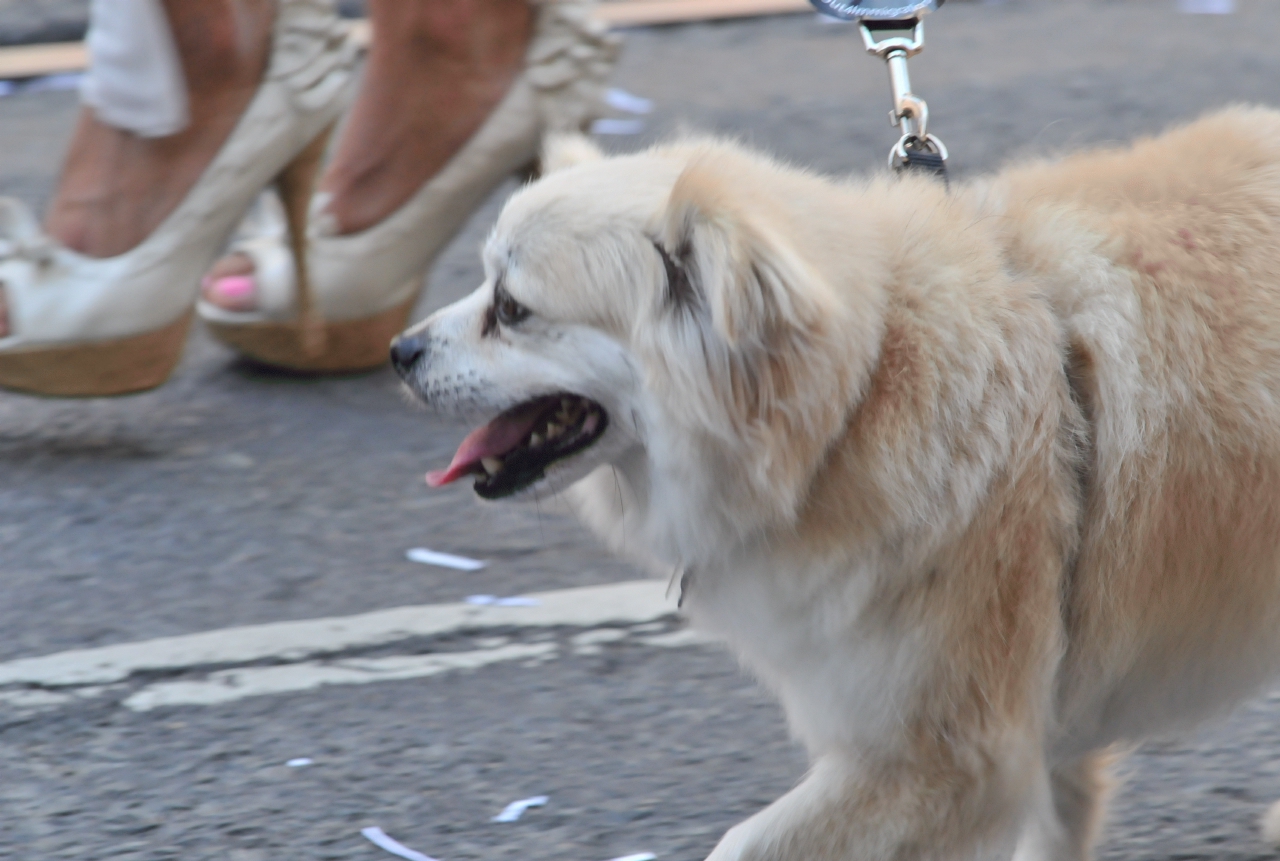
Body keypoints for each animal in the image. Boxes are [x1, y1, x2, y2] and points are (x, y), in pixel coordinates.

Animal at [391, 107, 1280, 859]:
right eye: (483, 283)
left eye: (513, 308)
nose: (400, 351)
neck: (855, 401)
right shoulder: (1023, 727)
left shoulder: (946, 755)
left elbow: (745, 846)